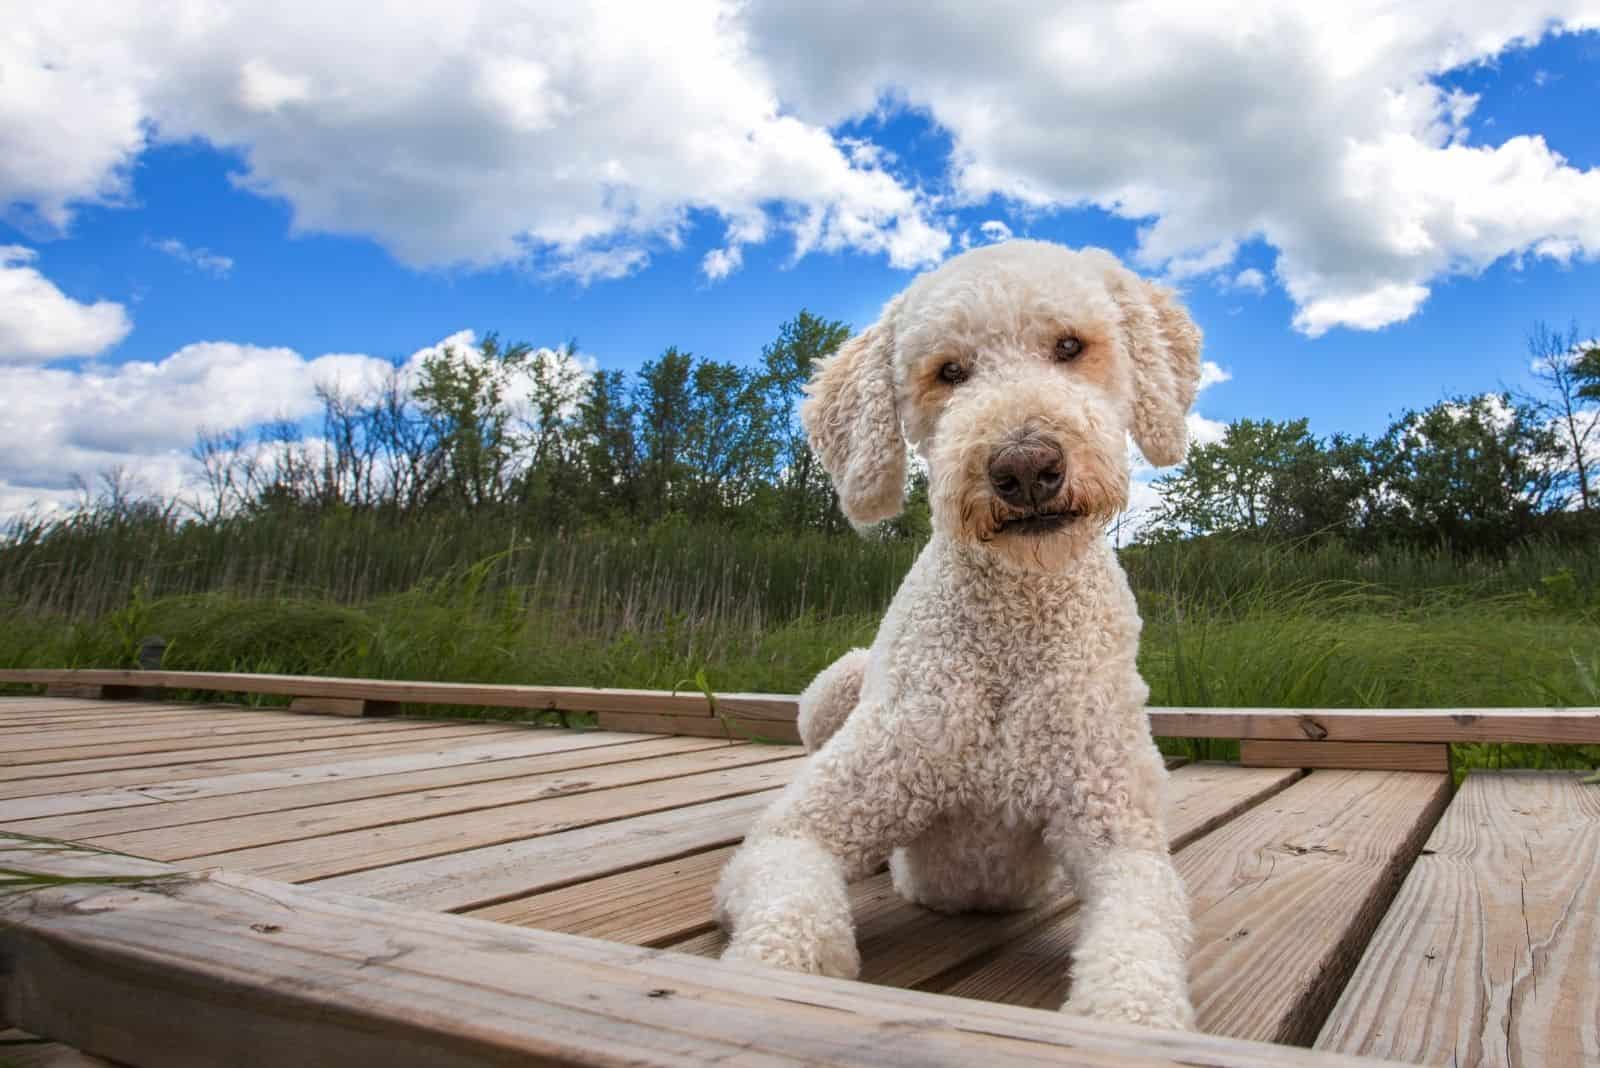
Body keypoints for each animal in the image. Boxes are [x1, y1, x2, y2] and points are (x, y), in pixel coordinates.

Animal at [713, 239, 1203, 1023]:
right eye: (948, 371)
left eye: (1071, 346)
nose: (1026, 466)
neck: (1012, 627)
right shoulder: (794, 832)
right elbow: (788, 911)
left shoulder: (1121, 841)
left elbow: (1139, 948)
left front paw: (1133, 1019)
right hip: (831, 689)